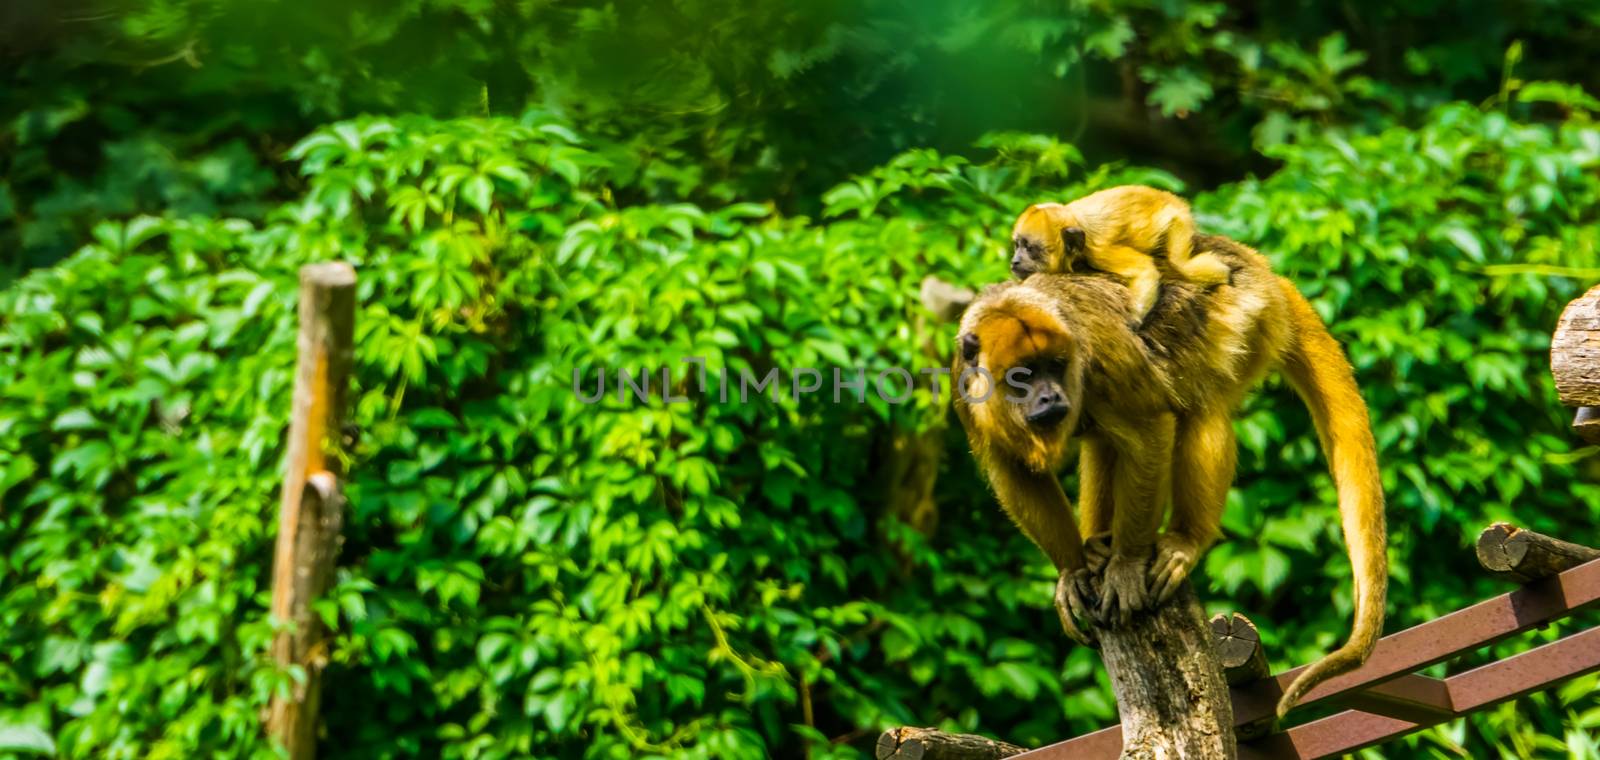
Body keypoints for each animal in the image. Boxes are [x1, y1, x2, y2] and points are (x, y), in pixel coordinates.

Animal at [1011, 188, 1222, 326]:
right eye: (1017, 245)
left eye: (1030, 249)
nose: (1015, 261)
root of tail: (1169, 198)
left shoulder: (1099, 251)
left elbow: (1144, 270)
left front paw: (1134, 322)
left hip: (1178, 220)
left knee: (1181, 265)